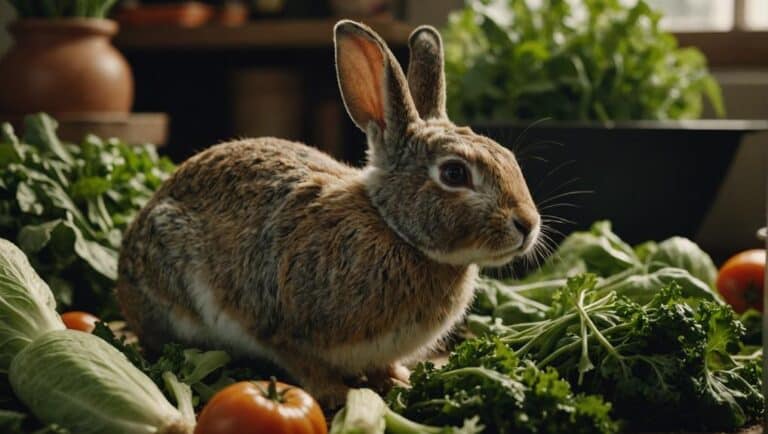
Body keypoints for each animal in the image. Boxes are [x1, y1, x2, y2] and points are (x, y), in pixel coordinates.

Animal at [116, 20, 541, 407]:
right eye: (454, 173)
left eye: (508, 157)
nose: (528, 225)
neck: (393, 228)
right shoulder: (279, 325)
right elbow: (303, 362)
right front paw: (337, 395)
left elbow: (382, 366)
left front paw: (398, 383)